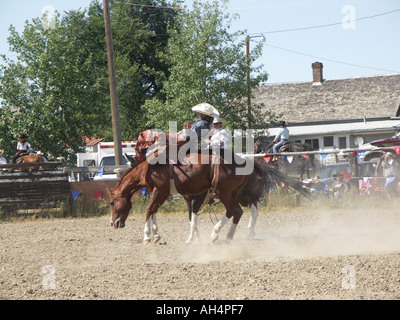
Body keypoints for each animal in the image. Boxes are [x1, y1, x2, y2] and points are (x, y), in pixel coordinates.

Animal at [108, 149, 252, 242]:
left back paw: (218, 235)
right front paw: (156, 235)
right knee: (235, 211)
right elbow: (154, 210)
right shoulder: (163, 194)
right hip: (231, 193)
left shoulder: (158, 191)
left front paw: (147, 235)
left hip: (223, 192)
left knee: (235, 210)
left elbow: (149, 210)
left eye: (112, 202)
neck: (148, 169)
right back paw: (223, 236)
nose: (113, 223)